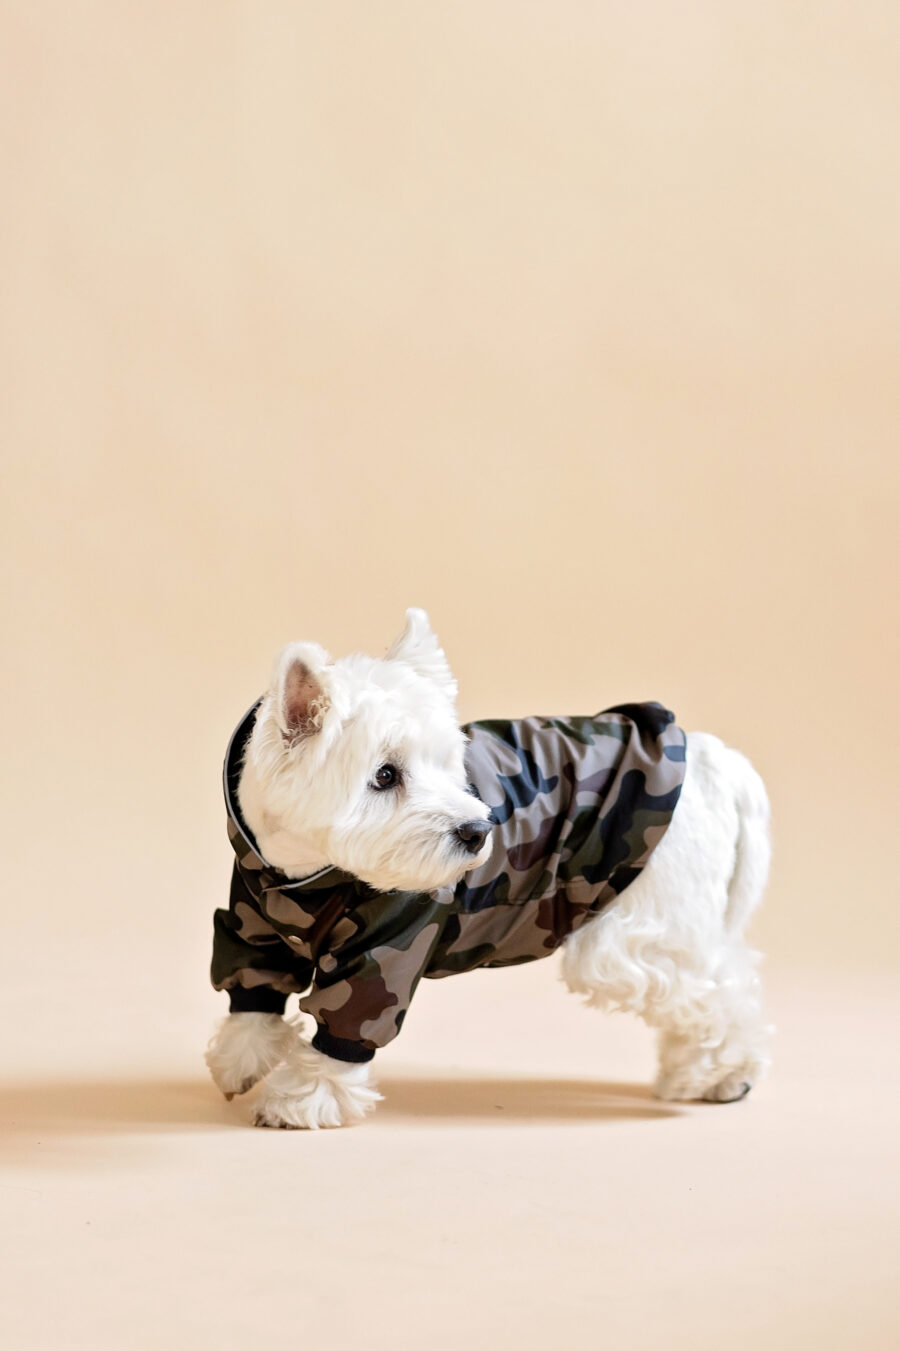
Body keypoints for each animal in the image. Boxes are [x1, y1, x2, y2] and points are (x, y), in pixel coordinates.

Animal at [206, 607, 767, 1124]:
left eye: (446, 763)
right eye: (384, 775)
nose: (478, 831)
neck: (299, 880)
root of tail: (712, 759)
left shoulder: (386, 948)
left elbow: (348, 1023)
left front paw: (305, 1099)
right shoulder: (251, 924)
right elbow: (253, 990)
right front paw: (240, 1061)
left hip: (643, 926)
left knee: (722, 988)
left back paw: (723, 1075)